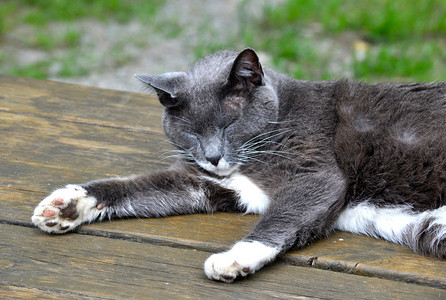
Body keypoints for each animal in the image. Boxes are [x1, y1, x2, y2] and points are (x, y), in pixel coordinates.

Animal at [31, 48, 446, 282]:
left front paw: (233, 258)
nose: (213, 156)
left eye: (229, 125)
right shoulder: (210, 183)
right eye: (190, 132)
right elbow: (143, 186)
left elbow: (282, 216)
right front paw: (68, 204)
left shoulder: (316, 171)